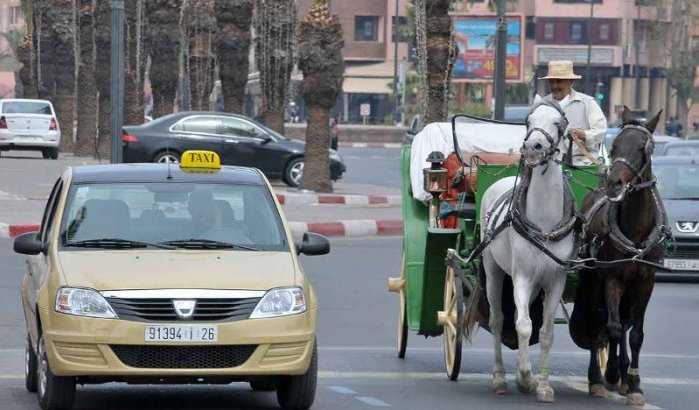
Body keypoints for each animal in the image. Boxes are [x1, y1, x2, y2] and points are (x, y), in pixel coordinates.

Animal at [482, 97, 580, 402]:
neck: (545, 223)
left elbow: (545, 331)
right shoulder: (522, 276)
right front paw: (525, 377)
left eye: (558, 123)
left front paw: (543, 384)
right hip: (493, 270)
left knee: (516, 317)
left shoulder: (555, 279)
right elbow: (524, 326)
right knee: (499, 320)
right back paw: (500, 377)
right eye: (528, 121)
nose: (533, 147)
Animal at [572, 106, 668, 406]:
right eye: (614, 146)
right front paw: (611, 375)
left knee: (624, 323)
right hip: (593, 279)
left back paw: (624, 375)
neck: (636, 229)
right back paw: (600, 377)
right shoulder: (612, 276)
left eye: (643, 148)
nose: (614, 182)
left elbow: (635, 334)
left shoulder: (646, 280)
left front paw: (634, 384)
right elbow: (611, 328)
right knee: (598, 322)